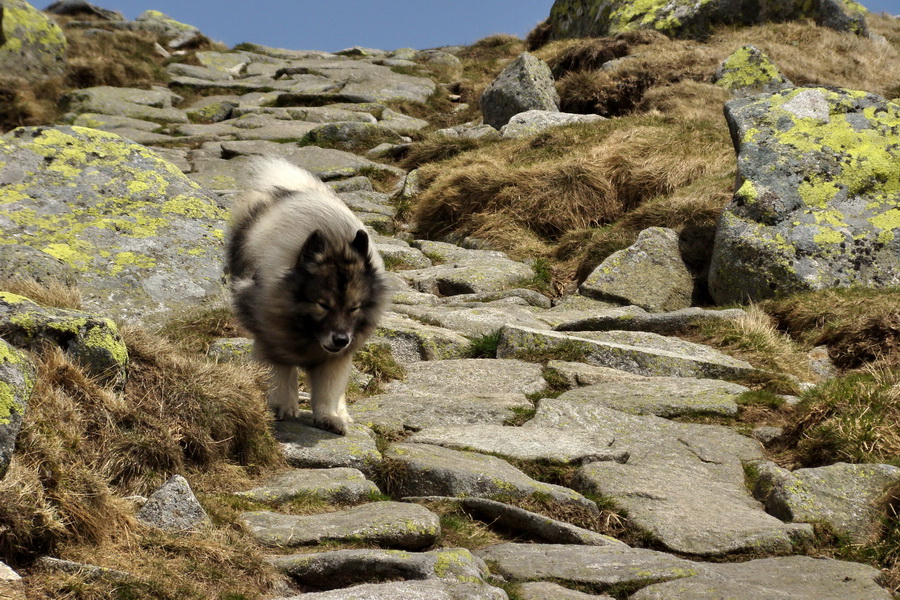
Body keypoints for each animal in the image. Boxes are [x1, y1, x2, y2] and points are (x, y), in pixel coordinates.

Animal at [225, 157, 386, 434]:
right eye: (323, 304)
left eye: (354, 308)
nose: (341, 339)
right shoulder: (273, 342)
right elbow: (279, 378)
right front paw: (279, 408)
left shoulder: (335, 359)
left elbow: (329, 391)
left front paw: (330, 416)